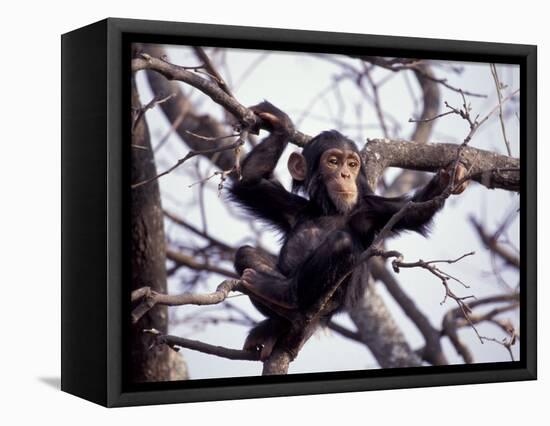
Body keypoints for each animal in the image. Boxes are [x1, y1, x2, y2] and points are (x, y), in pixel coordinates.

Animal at [231, 101, 468, 358]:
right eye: (333, 161)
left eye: (352, 164)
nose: (345, 174)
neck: (331, 210)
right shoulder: (289, 206)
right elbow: (248, 183)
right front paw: (281, 124)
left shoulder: (372, 211)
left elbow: (415, 212)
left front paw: (450, 178)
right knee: (245, 253)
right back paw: (273, 324)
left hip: (330, 304)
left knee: (339, 243)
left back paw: (282, 294)